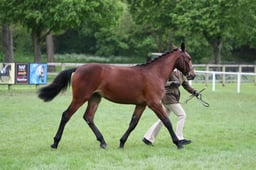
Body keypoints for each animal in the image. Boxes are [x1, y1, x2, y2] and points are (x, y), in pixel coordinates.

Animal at [38, 42, 195, 150]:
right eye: (188, 58)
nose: (192, 75)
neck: (154, 73)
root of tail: (78, 68)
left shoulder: (141, 104)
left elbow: (133, 123)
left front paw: (121, 143)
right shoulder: (154, 103)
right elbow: (167, 121)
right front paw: (178, 143)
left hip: (95, 98)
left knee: (88, 117)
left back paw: (102, 142)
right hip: (80, 98)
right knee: (66, 115)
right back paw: (55, 142)